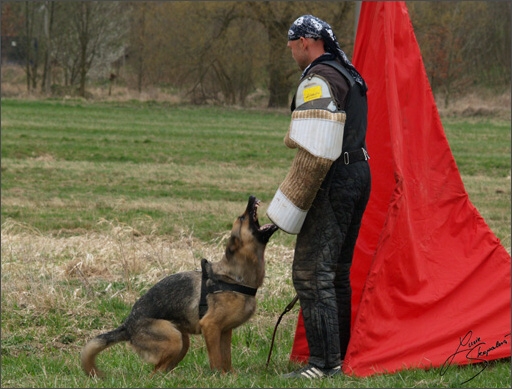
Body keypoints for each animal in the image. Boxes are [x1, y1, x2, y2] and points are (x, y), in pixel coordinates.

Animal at [81, 197, 278, 376]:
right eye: (242, 218)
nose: (251, 197)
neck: (234, 278)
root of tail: (127, 326)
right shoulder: (210, 326)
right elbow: (216, 360)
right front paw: (219, 377)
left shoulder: (224, 331)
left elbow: (226, 358)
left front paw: (230, 375)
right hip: (174, 339)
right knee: (155, 372)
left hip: (182, 341)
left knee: (158, 370)